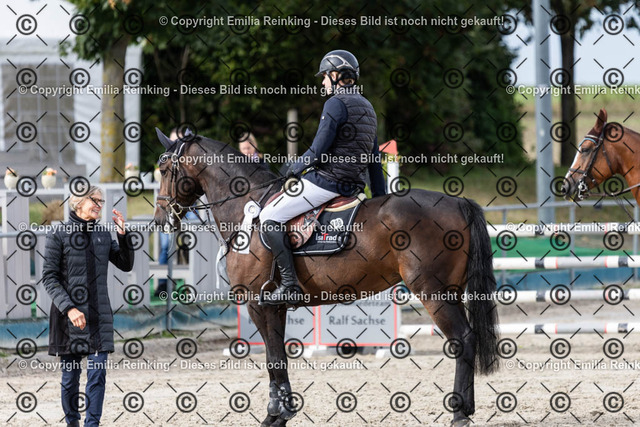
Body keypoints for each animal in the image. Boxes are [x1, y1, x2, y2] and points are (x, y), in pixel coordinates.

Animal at [152, 129, 499, 427]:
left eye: (165, 169)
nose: (160, 220)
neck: (247, 210)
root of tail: (457, 201)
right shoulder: (274, 307)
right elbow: (278, 358)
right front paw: (280, 414)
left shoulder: (258, 304)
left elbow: (274, 359)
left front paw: (277, 415)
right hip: (451, 291)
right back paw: (465, 409)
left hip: (432, 292)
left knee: (463, 339)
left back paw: (458, 412)